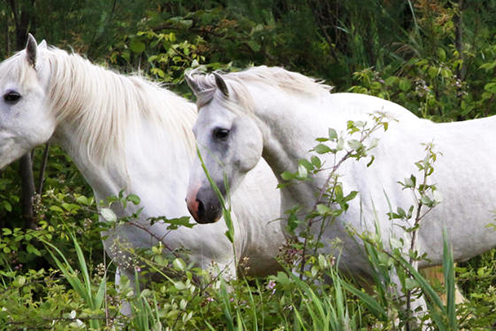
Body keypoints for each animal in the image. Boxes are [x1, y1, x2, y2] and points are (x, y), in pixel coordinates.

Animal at [185, 65, 496, 294]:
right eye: (194, 131)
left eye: (221, 132)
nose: (196, 204)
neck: (340, 181)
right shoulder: (315, 273)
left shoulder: (399, 275)